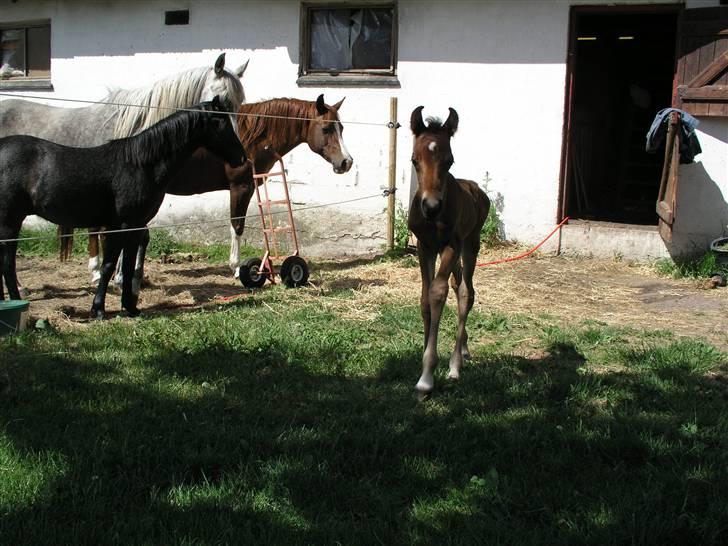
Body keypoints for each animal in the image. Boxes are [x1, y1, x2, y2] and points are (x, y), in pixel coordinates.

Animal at [406, 105, 492, 396]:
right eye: (414, 160)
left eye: (450, 161)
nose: (431, 207)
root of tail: (476, 188)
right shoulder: (425, 247)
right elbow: (424, 299)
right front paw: (422, 358)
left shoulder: (451, 246)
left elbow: (437, 293)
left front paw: (426, 377)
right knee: (458, 284)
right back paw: (463, 349)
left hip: (470, 244)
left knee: (466, 292)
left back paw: (455, 365)